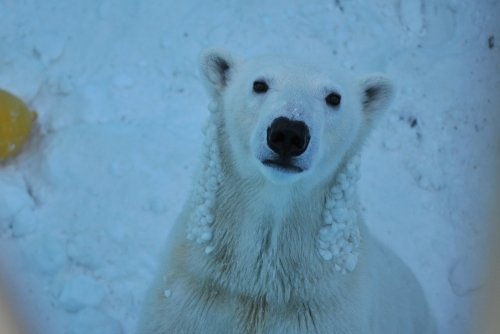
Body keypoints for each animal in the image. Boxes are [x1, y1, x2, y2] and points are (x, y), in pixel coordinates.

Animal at [138, 50, 438, 334]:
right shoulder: (192, 295)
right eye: (259, 84)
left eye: (334, 98)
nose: (289, 133)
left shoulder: (323, 312)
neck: (261, 280)